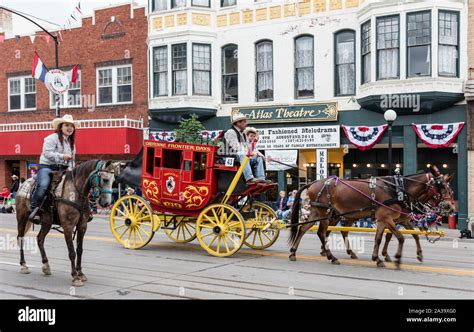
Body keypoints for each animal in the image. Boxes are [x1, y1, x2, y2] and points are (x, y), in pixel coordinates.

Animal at [288, 165, 456, 268]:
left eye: (449, 188)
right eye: (442, 186)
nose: (450, 207)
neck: (399, 190)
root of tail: (312, 183)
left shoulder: (388, 219)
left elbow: (382, 238)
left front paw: (378, 258)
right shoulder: (388, 217)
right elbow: (400, 237)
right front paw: (396, 258)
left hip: (318, 211)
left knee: (304, 229)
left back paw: (294, 252)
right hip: (326, 213)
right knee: (322, 232)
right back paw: (331, 256)